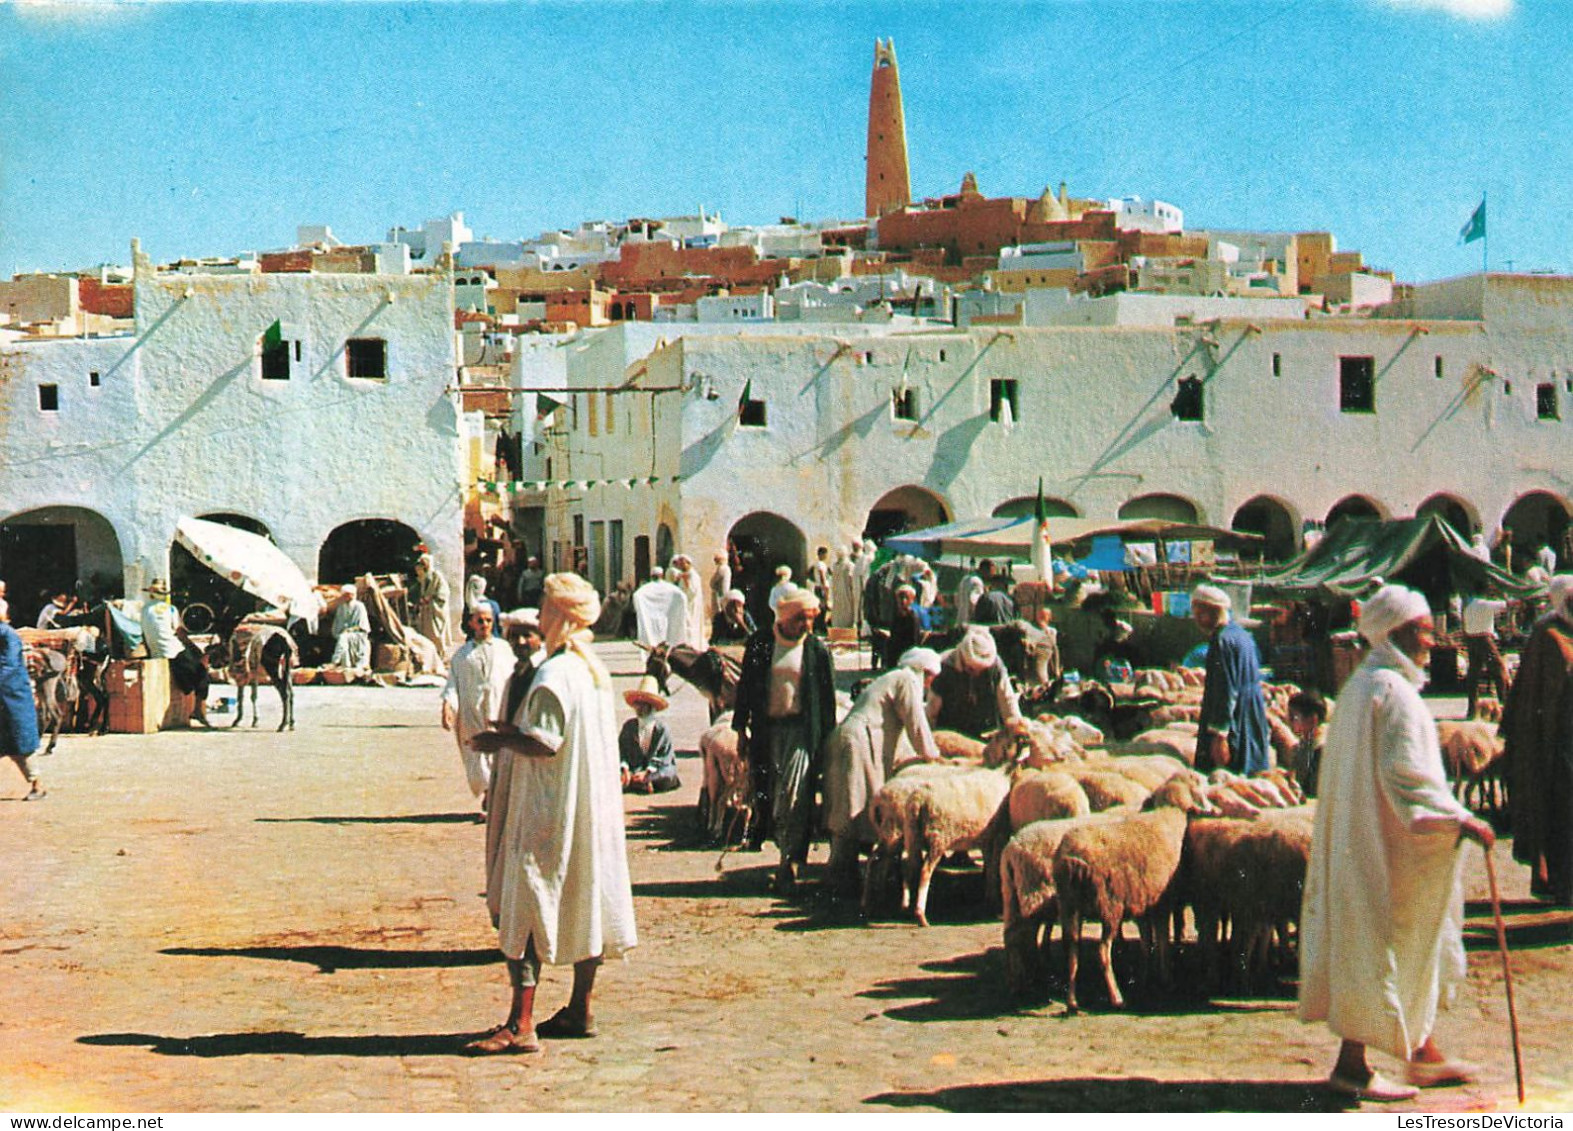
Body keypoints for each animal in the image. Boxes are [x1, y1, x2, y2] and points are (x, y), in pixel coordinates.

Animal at [1050, 780, 1220, 1006]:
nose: (1215, 810)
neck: (1169, 817)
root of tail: (1071, 859)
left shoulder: (1142, 904)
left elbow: (1146, 942)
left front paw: (1145, 976)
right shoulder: (1162, 902)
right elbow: (1163, 941)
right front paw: (1166, 978)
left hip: (1068, 905)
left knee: (1072, 951)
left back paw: (1072, 1001)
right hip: (1109, 906)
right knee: (1102, 952)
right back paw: (1116, 997)